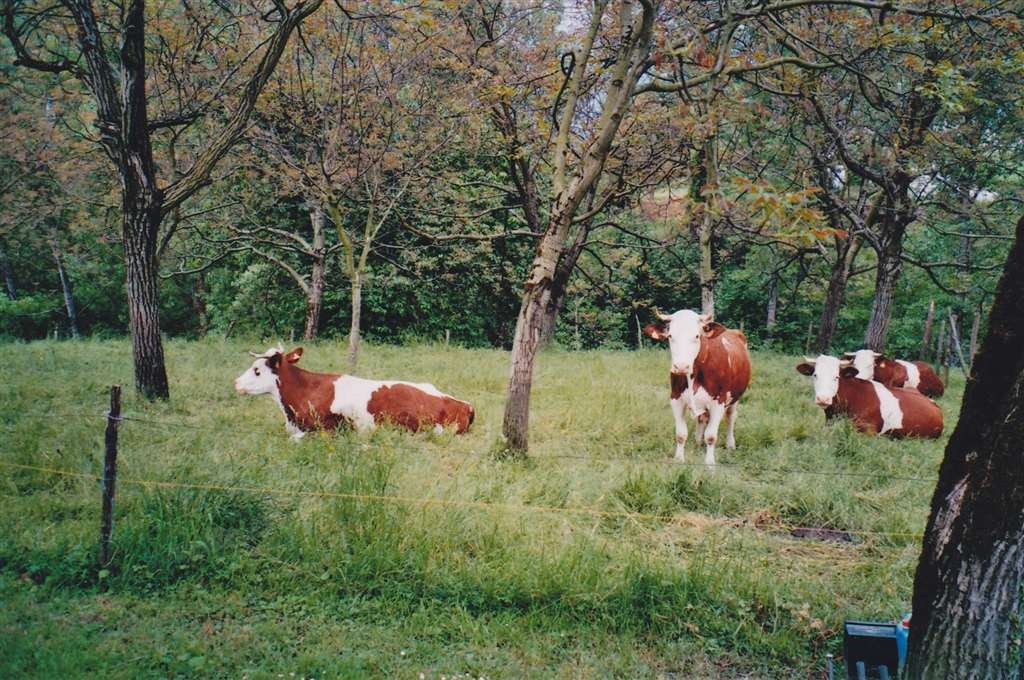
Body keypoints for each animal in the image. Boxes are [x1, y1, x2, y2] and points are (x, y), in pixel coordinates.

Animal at [644, 309, 752, 465]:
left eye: (696, 335)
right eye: (670, 336)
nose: (681, 366)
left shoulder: (719, 401)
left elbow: (711, 436)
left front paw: (709, 462)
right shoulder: (675, 398)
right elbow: (681, 434)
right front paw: (679, 458)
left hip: (734, 398)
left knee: (731, 417)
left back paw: (730, 444)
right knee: (703, 418)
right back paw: (698, 441)